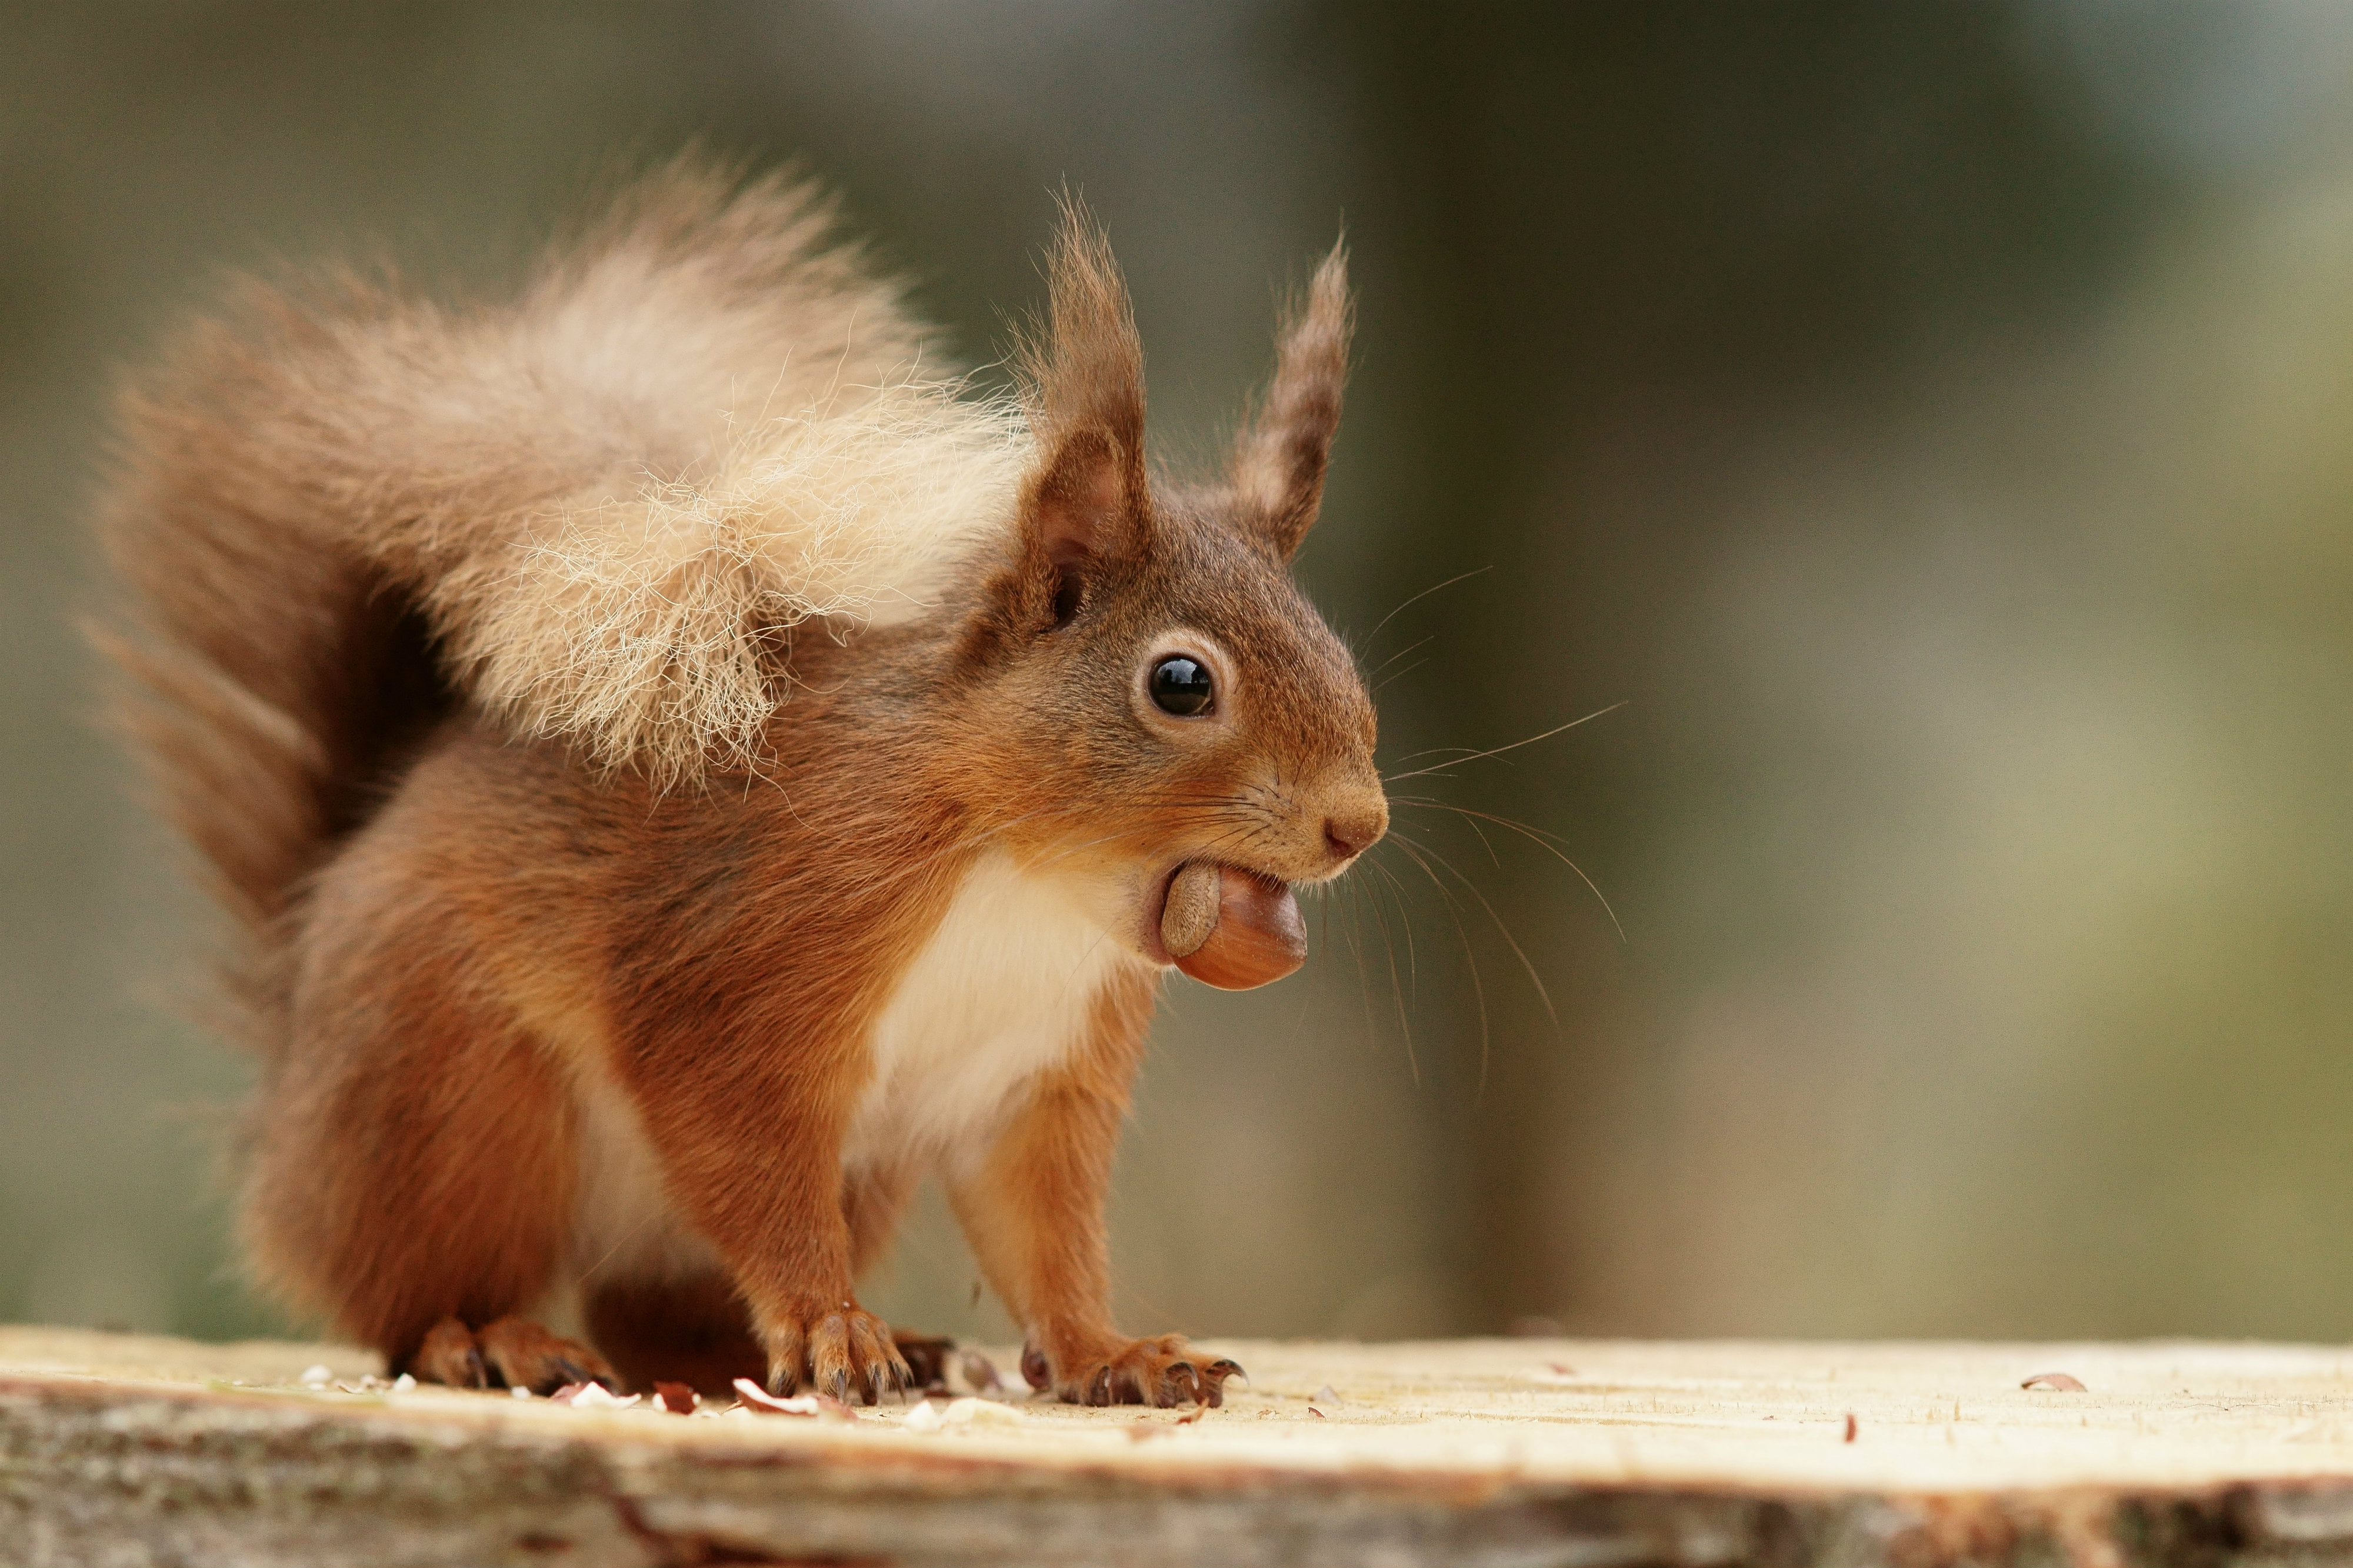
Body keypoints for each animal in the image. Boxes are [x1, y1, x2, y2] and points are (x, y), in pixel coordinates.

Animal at [95, 161, 1386, 1408]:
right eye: (1180, 682)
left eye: (1333, 641)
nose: (1358, 824)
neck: (1026, 876)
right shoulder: (750, 957)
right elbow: (748, 1162)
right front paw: (828, 1326)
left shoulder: (1037, 1073)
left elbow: (1043, 1233)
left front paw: (1111, 1352)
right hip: (455, 1098)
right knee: (413, 1301)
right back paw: (495, 1339)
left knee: (660, 1323)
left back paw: (880, 1346)